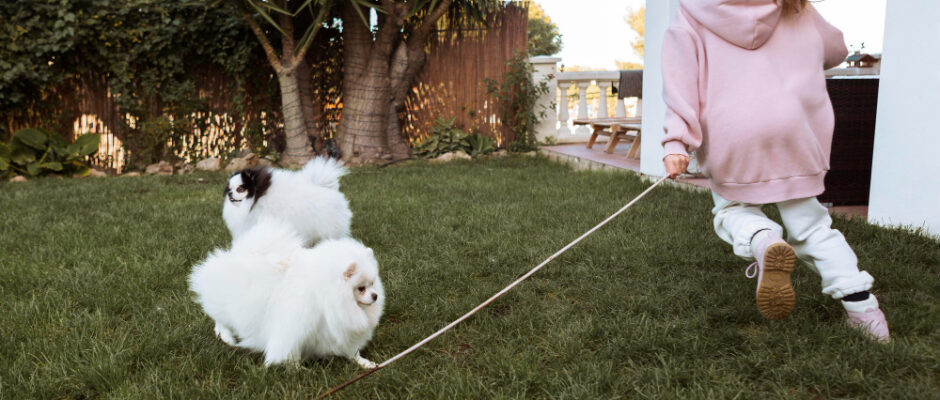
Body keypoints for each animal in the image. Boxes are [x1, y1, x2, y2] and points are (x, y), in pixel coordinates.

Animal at [189, 219, 384, 368]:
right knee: (220, 320)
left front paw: (365, 363)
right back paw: (227, 337)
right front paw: (297, 369)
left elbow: (352, 352)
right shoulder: (295, 327)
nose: (375, 296)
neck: (329, 296)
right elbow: (292, 351)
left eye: (372, 284)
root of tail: (241, 253)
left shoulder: (337, 330)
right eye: (361, 288)